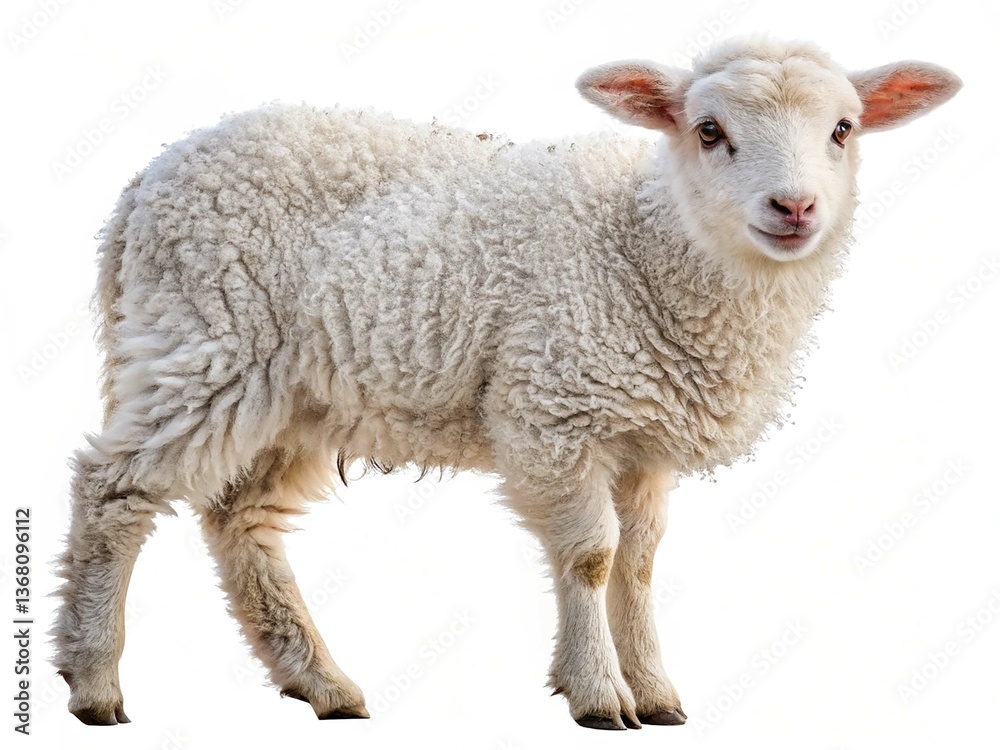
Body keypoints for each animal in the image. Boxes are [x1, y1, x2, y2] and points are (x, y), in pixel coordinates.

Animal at [52, 36, 961, 730]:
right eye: (709, 130)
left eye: (843, 129)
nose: (794, 207)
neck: (648, 245)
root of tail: (145, 183)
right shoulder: (554, 407)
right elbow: (592, 557)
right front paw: (598, 695)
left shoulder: (642, 437)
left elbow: (639, 565)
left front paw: (655, 691)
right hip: (205, 341)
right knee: (114, 490)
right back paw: (94, 679)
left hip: (296, 393)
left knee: (240, 522)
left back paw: (320, 681)